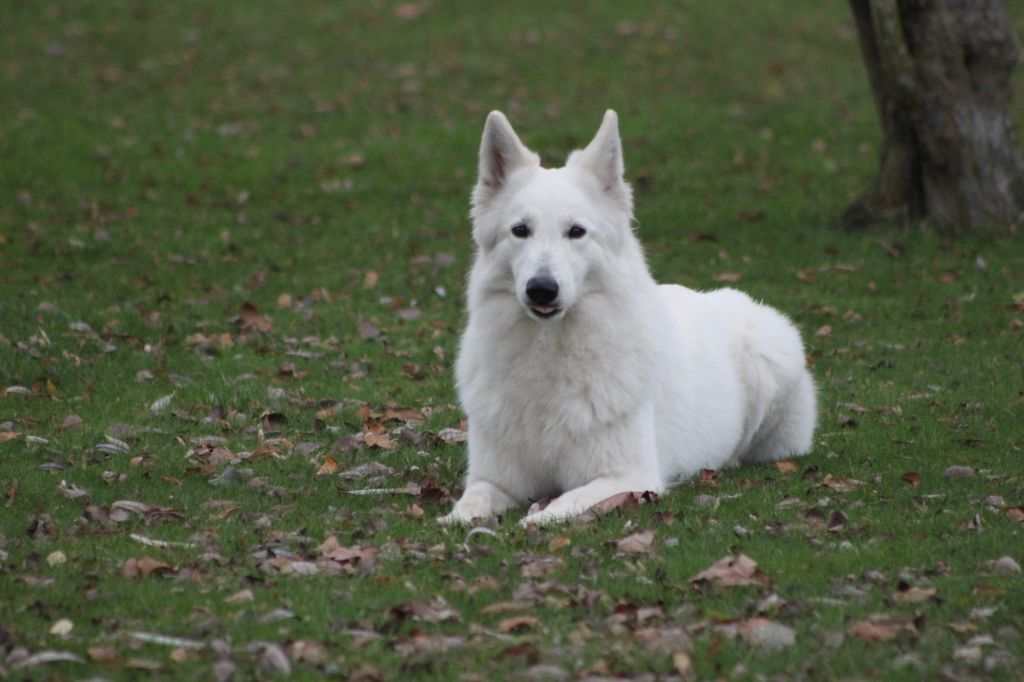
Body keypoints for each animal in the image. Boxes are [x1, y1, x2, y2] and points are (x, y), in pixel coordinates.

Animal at [440, 111, 815, 524]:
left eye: (576, 232)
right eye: (520, 231)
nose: (541, 289)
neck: (548, 354)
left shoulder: (628, 478)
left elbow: (562, 503)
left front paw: (535, 518)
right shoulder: (495, 479)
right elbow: (470, 503)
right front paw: (460, 520)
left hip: (769, 359)